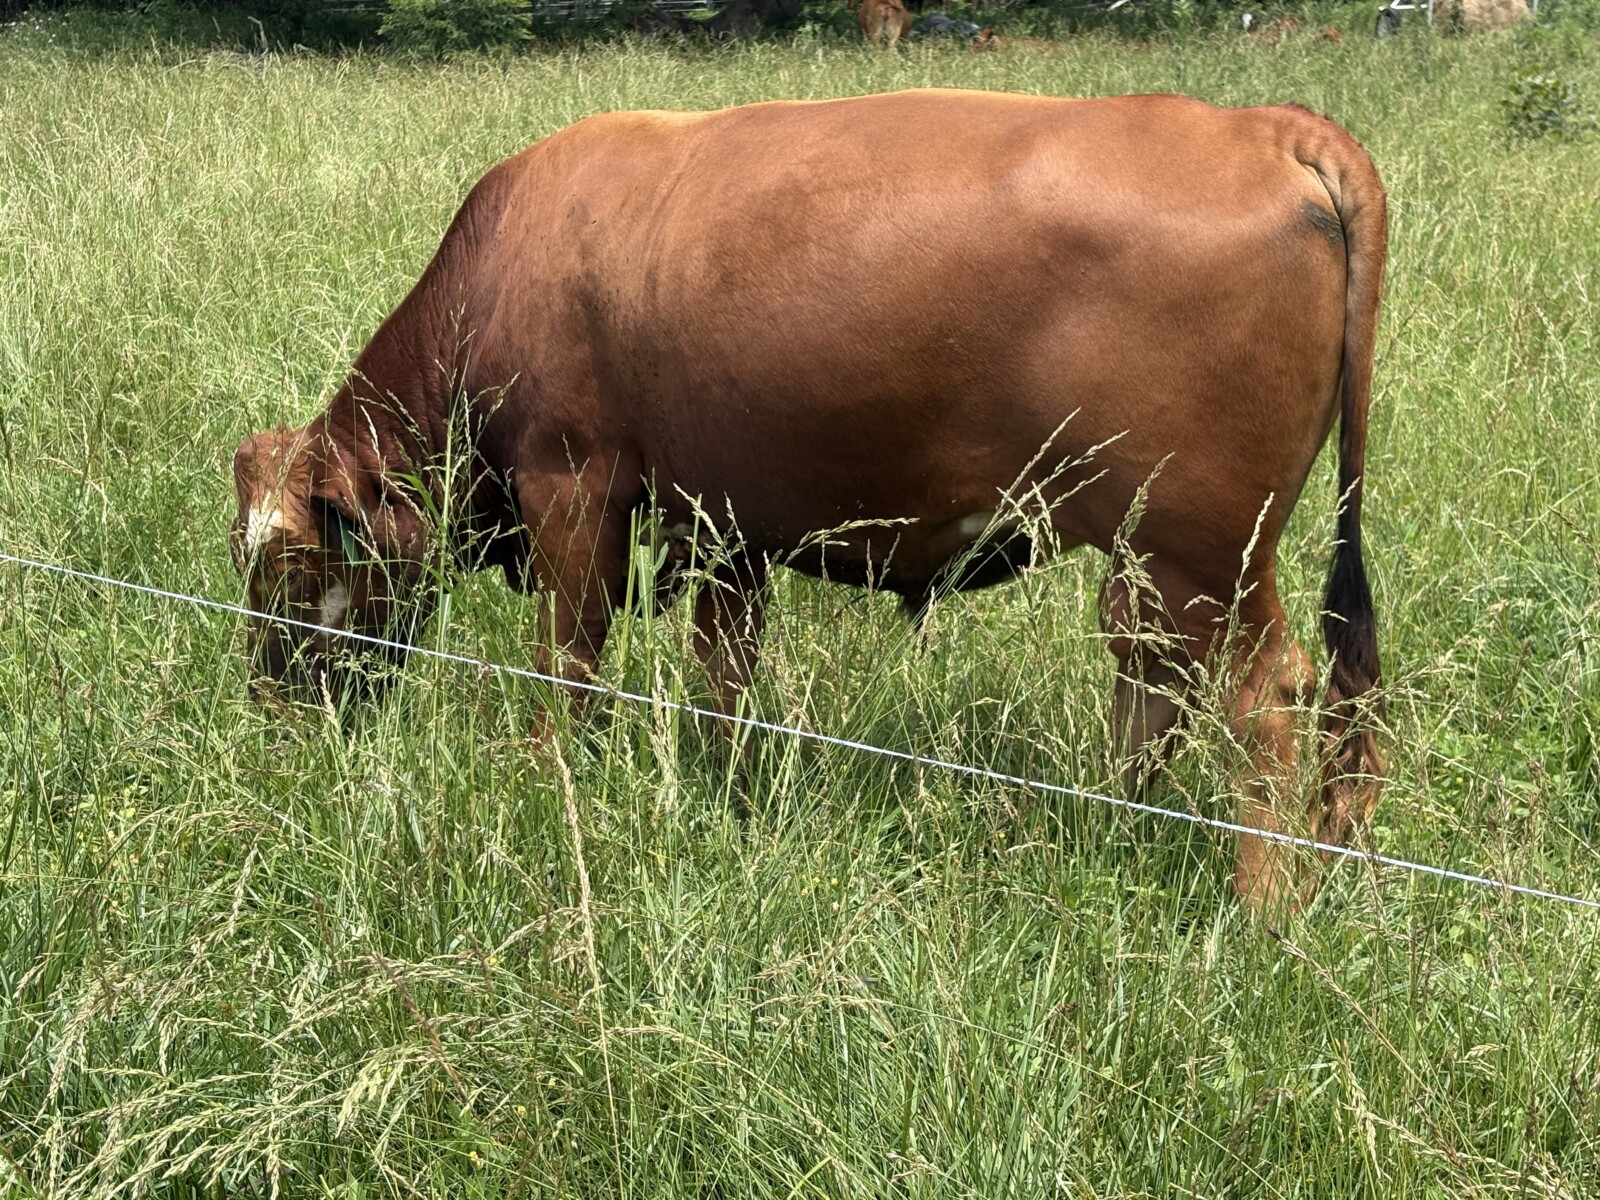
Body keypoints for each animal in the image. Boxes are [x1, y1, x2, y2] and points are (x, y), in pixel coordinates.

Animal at [231, 90, 1386, 909]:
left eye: (287, 560)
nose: (269, 710)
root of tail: (1266, 127)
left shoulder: (573, 487)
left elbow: (570, 659)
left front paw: (546, 775)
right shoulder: (722, 524)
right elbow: (724, 672)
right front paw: (729, 789)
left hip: (1201, 550)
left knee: (1264, 698)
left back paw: (1260, 912)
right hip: (1151, 558)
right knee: (1156, 686)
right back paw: (1108, 830)